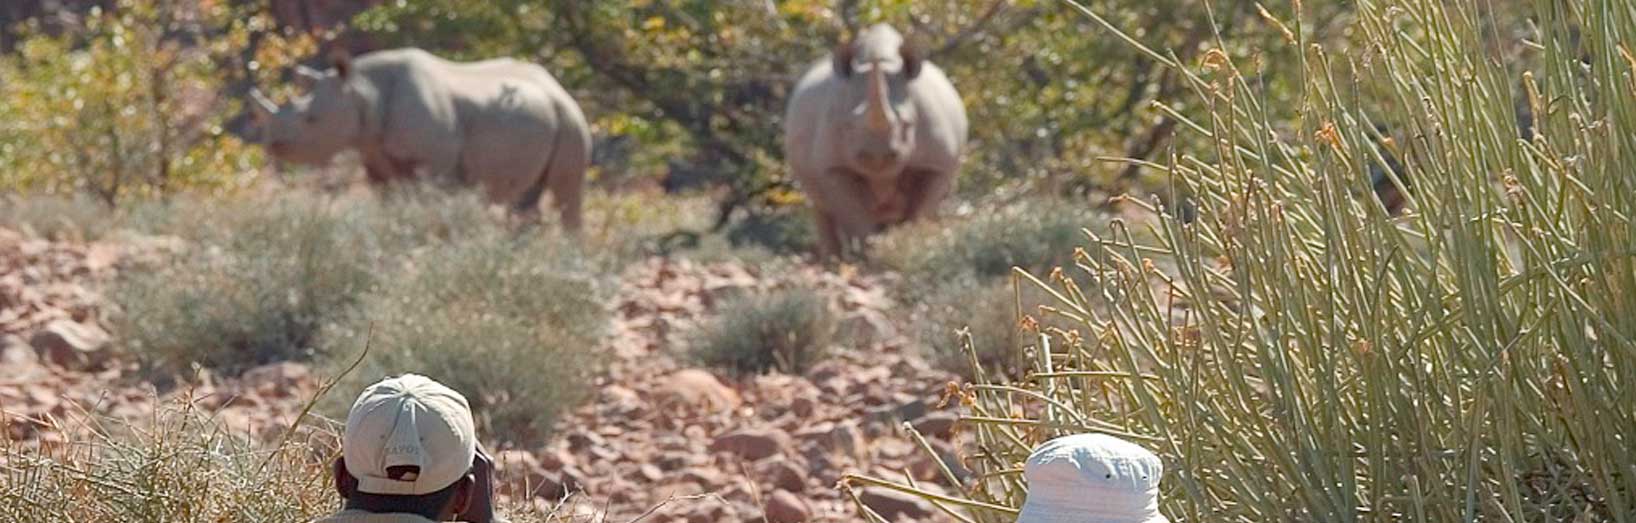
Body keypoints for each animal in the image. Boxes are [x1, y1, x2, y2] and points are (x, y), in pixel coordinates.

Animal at [251, 48, 591, 232]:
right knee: (527, 197)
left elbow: (431, 200)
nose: (272, 144)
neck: (364, 89)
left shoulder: (434, 163)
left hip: (571, 120)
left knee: (566, 192)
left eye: (311, 120)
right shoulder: (374, 154)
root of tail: (558, 87)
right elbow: (388, 200)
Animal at [783, 24, 968, 258]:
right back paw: (834, 260)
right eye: (848, 126)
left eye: (907, 125)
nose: (876, 157)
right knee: (821, 205)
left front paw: (908, 245)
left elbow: (919, 211)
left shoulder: (936, 163)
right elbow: (855, 216)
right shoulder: (834, 166)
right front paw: (873, 255)